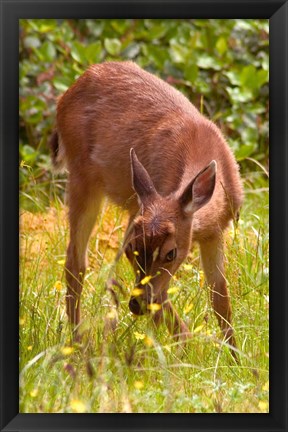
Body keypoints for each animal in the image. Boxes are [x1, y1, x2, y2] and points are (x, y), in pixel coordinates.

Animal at [49, 60, 243, 358]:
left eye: (171, 253)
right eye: (132, 248)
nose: (135, 306)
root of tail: (69, 91)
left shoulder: (215, 231)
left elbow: (220, 296)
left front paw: (237, 359)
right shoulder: (139, 217)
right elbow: (162, 295)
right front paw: (183, 348)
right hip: (82, 177)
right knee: (75, 262)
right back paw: (79, 345)